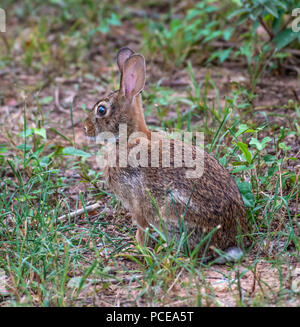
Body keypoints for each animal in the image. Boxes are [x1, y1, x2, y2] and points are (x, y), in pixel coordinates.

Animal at [83, 46, 250, 262]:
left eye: (101, 110)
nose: (85, 128)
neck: (128, 138)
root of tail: (228, 244)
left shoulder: (137, 204)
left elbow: (141, 228)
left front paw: (135, 248)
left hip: (172, 211)